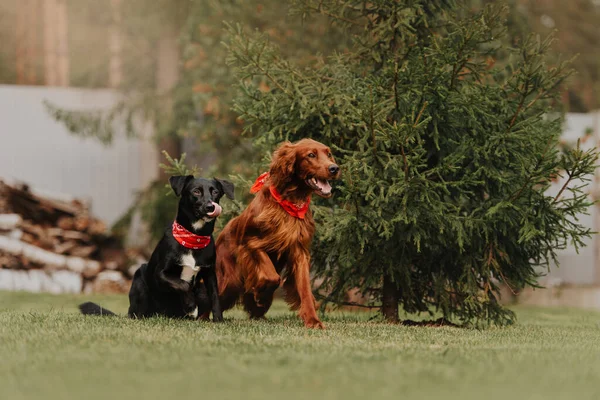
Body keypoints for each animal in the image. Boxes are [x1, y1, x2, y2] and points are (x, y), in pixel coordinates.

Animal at [77, 175, 232, 322]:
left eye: (215, 192)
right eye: (196, 191)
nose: (210, 207)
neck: (193, 238)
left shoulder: (210, 274)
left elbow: (215, 297)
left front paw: (218, 320)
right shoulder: (160, 273)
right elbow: (183, 284)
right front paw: (190, 306)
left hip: (201, 291)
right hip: (139, 279)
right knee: (137, 313)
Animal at [214, 139, 338, 326]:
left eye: (329, 154)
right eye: (311, 155)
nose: (334, 168)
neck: (291, 203)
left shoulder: (299, 252)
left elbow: (305, 289)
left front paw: (313, 320)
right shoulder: (250, 244)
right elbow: (272, 276)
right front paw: (260, 293)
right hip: (230, 281)